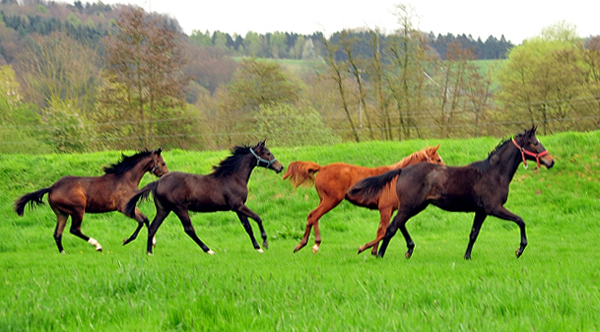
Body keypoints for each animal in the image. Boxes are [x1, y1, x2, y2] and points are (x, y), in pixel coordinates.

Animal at [14, 148, 169, 254]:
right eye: (163, 163)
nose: (167, 175)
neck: (126, 179)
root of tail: (52, 188)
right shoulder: (124, 208)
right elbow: (141, 221)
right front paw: (126, 241)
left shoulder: (131, 206)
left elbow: (146, 219)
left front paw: (153, 242)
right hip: (78, 209)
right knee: (74, 229)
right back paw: (97, 245)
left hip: (62, 213)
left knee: (57, 233)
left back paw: (63, 252)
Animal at [124, 141, 284, 255]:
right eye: (268, 153)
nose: (280, 167)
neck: (233, 177)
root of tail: (158, 182)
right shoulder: (238, 206)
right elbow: (258, 218)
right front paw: (265, 243)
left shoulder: (238, 208)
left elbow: (248, 227)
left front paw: (258, 247)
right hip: (179, 208)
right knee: (189, 229)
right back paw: (208, 250)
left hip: (164, 210)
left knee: (153, 227)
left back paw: (149, 252)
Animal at [282, 145, 446, 254]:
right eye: (438, 160)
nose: (447, 172)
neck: (397, 178)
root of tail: (321, 168)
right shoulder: (385, 208)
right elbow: (383, 230)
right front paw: (366, 249)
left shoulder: (394, 210)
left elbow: (388, 228)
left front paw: (375, 251)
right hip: (331, 200)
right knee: (315, 216)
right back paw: (314, 244)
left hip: (323, 200)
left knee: (311, 215)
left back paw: (302, 244)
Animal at [344, 126, 556, 260]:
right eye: (534, 143)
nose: (551, 161)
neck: (493, 173)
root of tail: (403, 170)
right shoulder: (494, 208)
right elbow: (521, 220)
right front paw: (520, 249)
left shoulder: (481, 211)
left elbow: (473, 234)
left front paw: (467, 256)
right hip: (411, 206)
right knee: (392, 227)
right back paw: (380, 254)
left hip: (415, 206)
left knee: (398, 224)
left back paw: (407, 250)